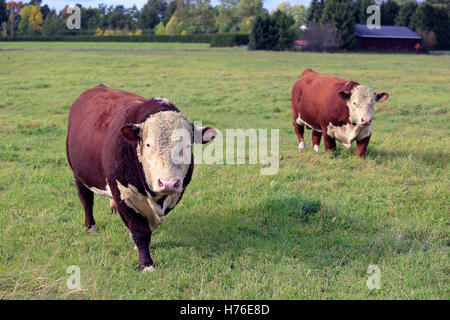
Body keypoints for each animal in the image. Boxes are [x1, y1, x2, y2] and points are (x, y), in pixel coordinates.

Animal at [64, 84, 216, 272]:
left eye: (187, 146)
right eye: (148, 144)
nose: (168, 183)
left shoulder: (175, 195)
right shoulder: (122, 194)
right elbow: (140, 230)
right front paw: (146, 264)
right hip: (78, 174)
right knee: (86, 200)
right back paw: (91, 227)